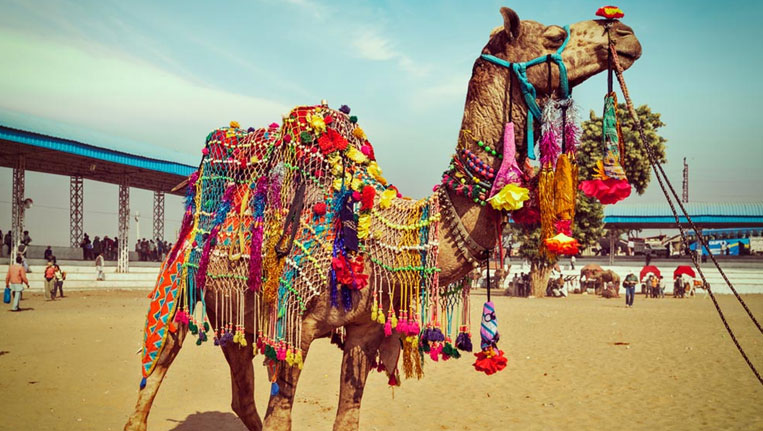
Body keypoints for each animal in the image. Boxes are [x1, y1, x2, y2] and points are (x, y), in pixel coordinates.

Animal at [124, 6, 640, 431]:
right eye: (553, 35)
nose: (624, 32)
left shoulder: (365, 331)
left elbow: (347, 415)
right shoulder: (295, 327)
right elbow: (281, 416)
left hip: (236, 314)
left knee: (240, 393)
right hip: (180, 282)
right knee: (155, 370)